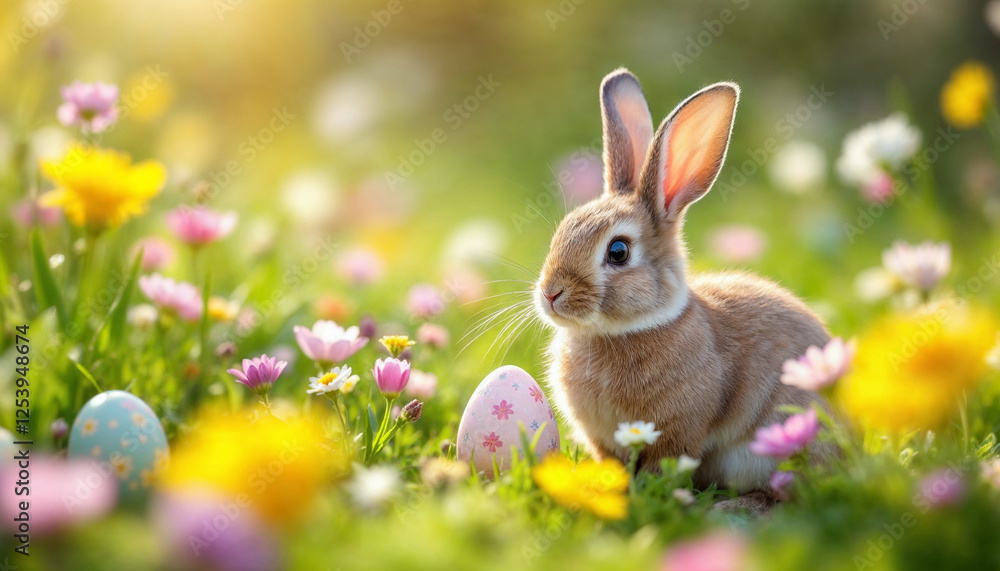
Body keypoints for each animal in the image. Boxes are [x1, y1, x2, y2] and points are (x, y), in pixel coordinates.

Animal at [534, 68, 833, 512]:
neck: (621, 330)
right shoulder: (602, 439)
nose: (551, 294)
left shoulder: (677, 431)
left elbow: (666, 463)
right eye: (562, 231)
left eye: (618, 252)